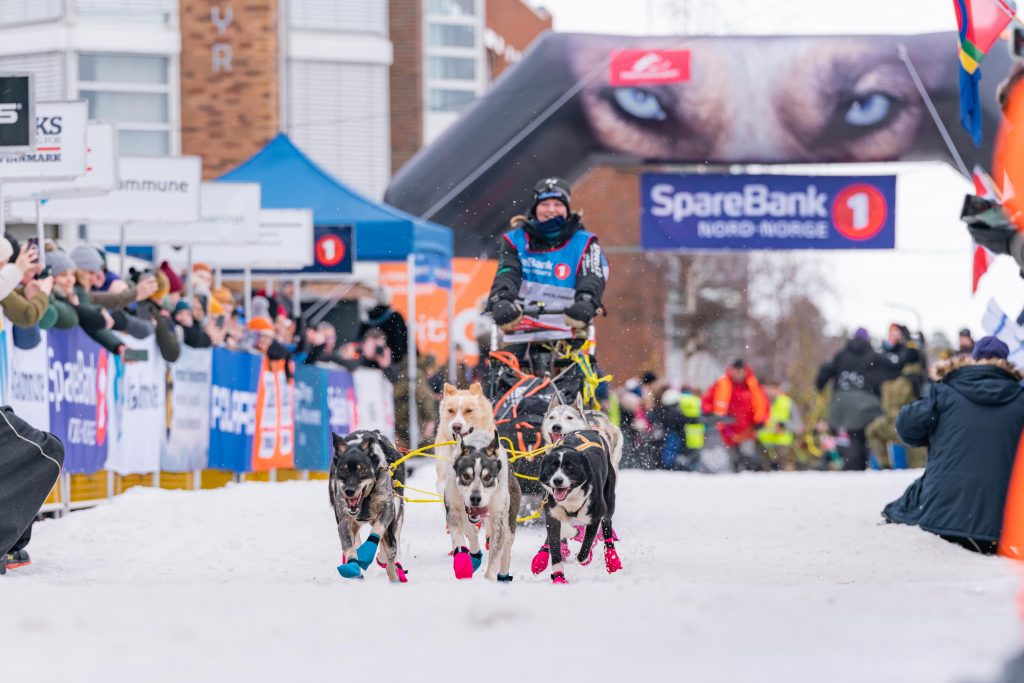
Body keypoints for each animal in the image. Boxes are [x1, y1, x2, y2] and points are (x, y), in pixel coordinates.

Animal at [327, 430, 407, 581]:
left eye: (362, 470)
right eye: (342, 470)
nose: (349, 491)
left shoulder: (387, 510)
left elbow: (379, 531)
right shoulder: (344, 520)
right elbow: (350, 547)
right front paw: (353, 566)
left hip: (397, 512)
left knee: (392, 541)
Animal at [444, 432, 520, 581]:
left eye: (488, 476)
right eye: (466, 475)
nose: (475, 498)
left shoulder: (499, 520)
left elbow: (495, 555)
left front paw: (489, 579)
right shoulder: (454, 509)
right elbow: (461, 537)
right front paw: (464, 563)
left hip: (510, 523)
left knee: (506, 553)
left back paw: (503, 576)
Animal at [540, 432, 618, 581]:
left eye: (570, 466)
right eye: (552, 467)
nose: (557, 480)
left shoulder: (595, 516)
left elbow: (585, 547)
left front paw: (585, 557)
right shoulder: (552, 514)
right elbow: (556, 545)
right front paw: (559, 575)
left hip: (609, 501)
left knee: (607, 524)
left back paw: (612, 558)